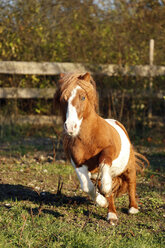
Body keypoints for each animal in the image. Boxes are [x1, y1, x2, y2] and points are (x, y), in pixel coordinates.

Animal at [53, 71, 148, 225]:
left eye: (83, 97)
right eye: (63, 99)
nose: (71, 127)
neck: (89, 139)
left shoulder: (109, 150)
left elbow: (104, 161)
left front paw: (105, 187)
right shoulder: (78, 164)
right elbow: (87, 187)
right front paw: (101, 201)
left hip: (129, 167)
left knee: (131, 183)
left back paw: (133, 208)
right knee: (110, 193)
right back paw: (111, 215)